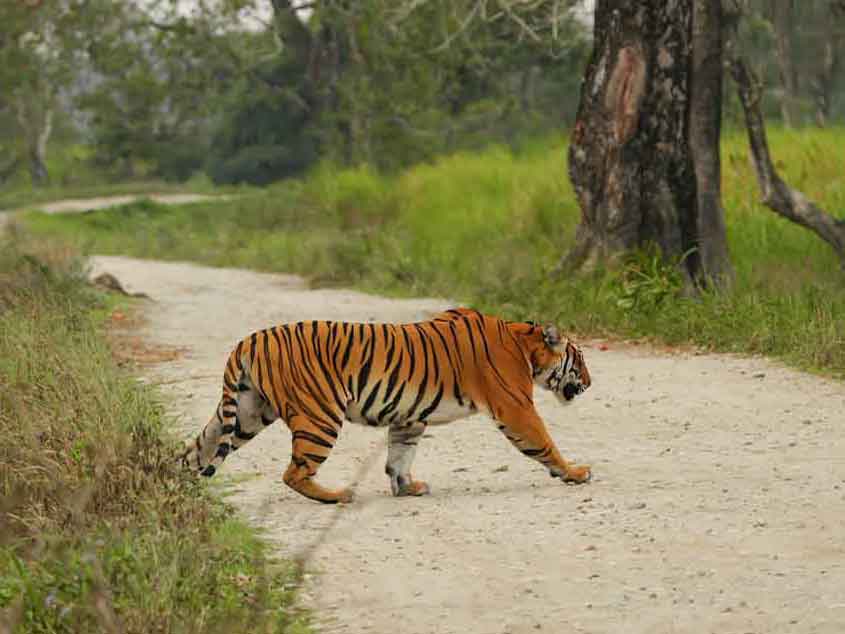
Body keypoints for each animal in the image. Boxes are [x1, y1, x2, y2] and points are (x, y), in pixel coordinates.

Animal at [181, 308, 592, 504]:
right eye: (581, 359)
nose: (589, 383)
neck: (523, 344)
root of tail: (247, 341)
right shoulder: (515, 407)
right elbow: (543, 441)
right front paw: (574, 472)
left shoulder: (408, 416)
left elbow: (399, 456)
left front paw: (406, 487)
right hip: (319, 417)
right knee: (293, 472)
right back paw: (336, 496)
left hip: (246, 412)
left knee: (195, 451)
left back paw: (177, 488)